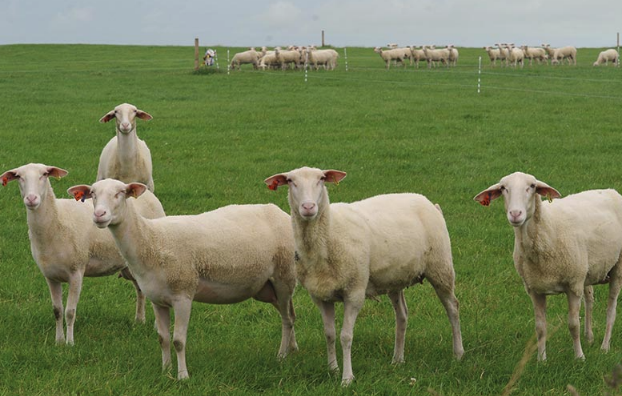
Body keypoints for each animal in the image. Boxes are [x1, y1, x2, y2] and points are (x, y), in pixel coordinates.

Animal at [0, 162, 166, 344]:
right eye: (19, 177)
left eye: (44, 175)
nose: (31, 199)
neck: (57, 221)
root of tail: (147, 193)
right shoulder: (50, 276)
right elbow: (57, 310)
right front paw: (58, 341)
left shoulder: (76, 271)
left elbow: (70, 312)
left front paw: (70, 343)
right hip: (130, 266)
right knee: (140, 289)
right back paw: (139, 320)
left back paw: (156, 326)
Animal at [69, 179, 298, 380]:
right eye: (93, 194)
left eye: (120, 193)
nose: (99, 215)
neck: (151, 240)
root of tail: (278, 211)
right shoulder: (157, 300)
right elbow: (162, 339)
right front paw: (165, 370)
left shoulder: (183, 294)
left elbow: (178, 341)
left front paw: (182, 376)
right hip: (266, 288)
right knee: (290, 315)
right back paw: (293, 349)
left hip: (284, 276)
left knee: (287, 319)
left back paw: (281, 355)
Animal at [266, 166, 466, 384]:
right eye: (290, 181)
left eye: (322, 179)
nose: (309, 207)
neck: (329, 235)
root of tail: (429, 202)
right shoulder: (321, 296)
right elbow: (329, 334)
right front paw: (333, 369)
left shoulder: (355, 292)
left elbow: (345, 336)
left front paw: (347, 378)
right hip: (394, 278)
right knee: (402, 315)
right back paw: (397, 359)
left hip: (440, 266)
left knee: (453, 308)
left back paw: (458, 354)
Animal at [476, 172, 622, 360]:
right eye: (503, 188)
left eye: (532, 186)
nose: (515, 214)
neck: (548, 227)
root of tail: (611, 191)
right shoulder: (535, 289)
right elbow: (540, 328)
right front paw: (541, 359)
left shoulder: (573, 285)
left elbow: (573, 324)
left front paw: (579, 357)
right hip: (587, 270)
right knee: (590, 299)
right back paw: (589, 338)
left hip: (617, 267)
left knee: (611, 309)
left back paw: (605, 346)